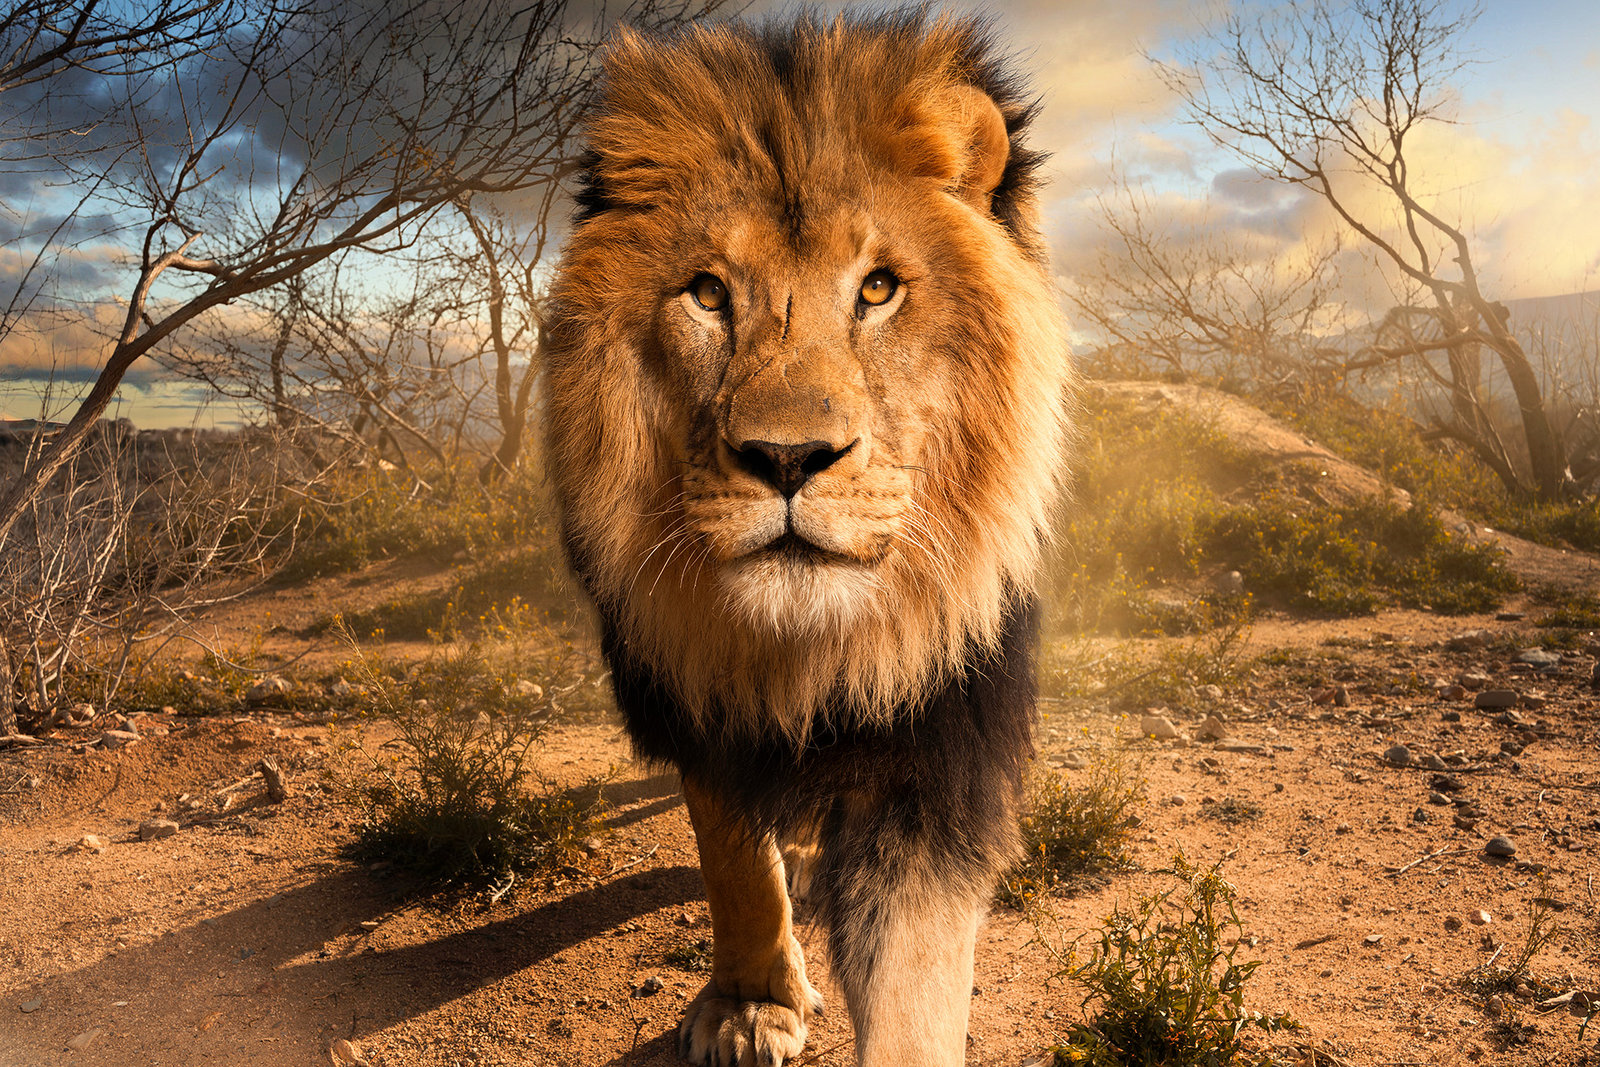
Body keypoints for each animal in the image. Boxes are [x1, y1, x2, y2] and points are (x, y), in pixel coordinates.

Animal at [541, 11, 1072, 1067]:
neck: (808, 646)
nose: (788, 458)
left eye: (879, 288)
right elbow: (734, 856)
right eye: (708, 294)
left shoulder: (938, 752)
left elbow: (915, 981)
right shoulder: (692, 688)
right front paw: (753, 1007)